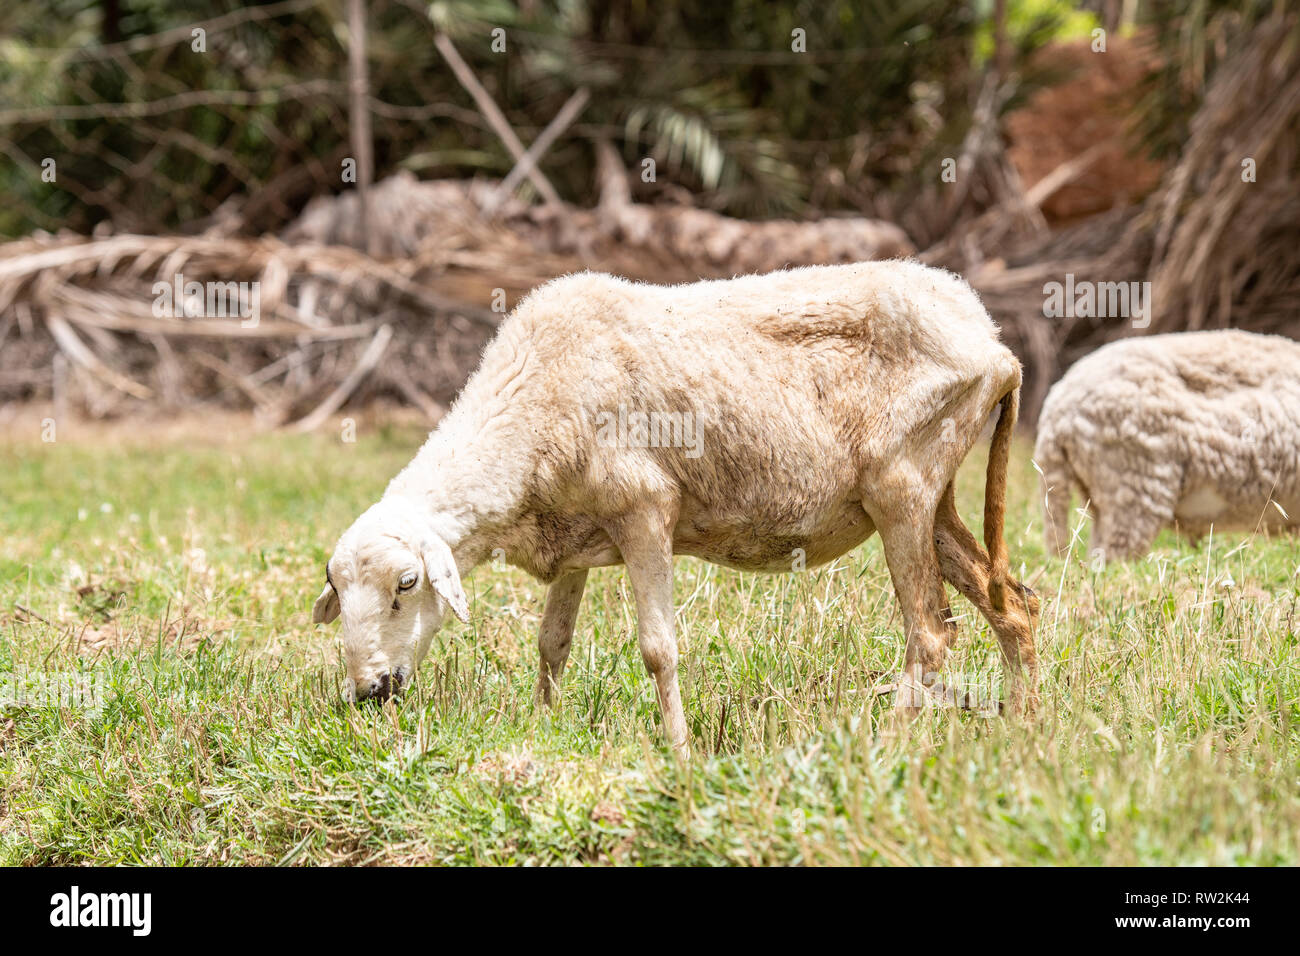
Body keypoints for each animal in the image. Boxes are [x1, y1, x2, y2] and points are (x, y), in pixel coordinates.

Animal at [314, 260, 1045, 749]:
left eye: (408, 583)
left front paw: (679, 750)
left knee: (931, 634)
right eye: (337, 593)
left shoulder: (643, 511)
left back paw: (885, 743)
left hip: (903, 489)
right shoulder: (575, 535)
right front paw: (543, 728)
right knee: (1013, 607)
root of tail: (993, 345)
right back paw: (1023, 730)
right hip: (932, 496)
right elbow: (552, 643)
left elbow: (658, 649)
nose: (370, 693)